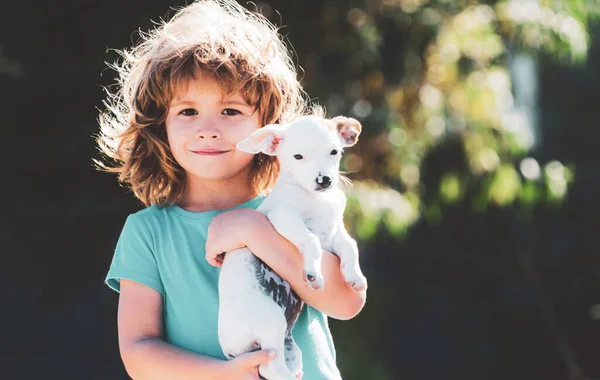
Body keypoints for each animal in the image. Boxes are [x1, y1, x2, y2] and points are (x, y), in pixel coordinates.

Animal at [216, 115, 366, 380]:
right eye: (298, 156)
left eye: (334, 152)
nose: (324, 180)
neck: (317, 200)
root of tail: (232, 352)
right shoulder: (284, 217)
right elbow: (311, 240)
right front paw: (314, 273)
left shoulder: (335, 233)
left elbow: (351, 247)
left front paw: (354, 277)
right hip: (271, 320)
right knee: (270, 368)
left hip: (288, 344)